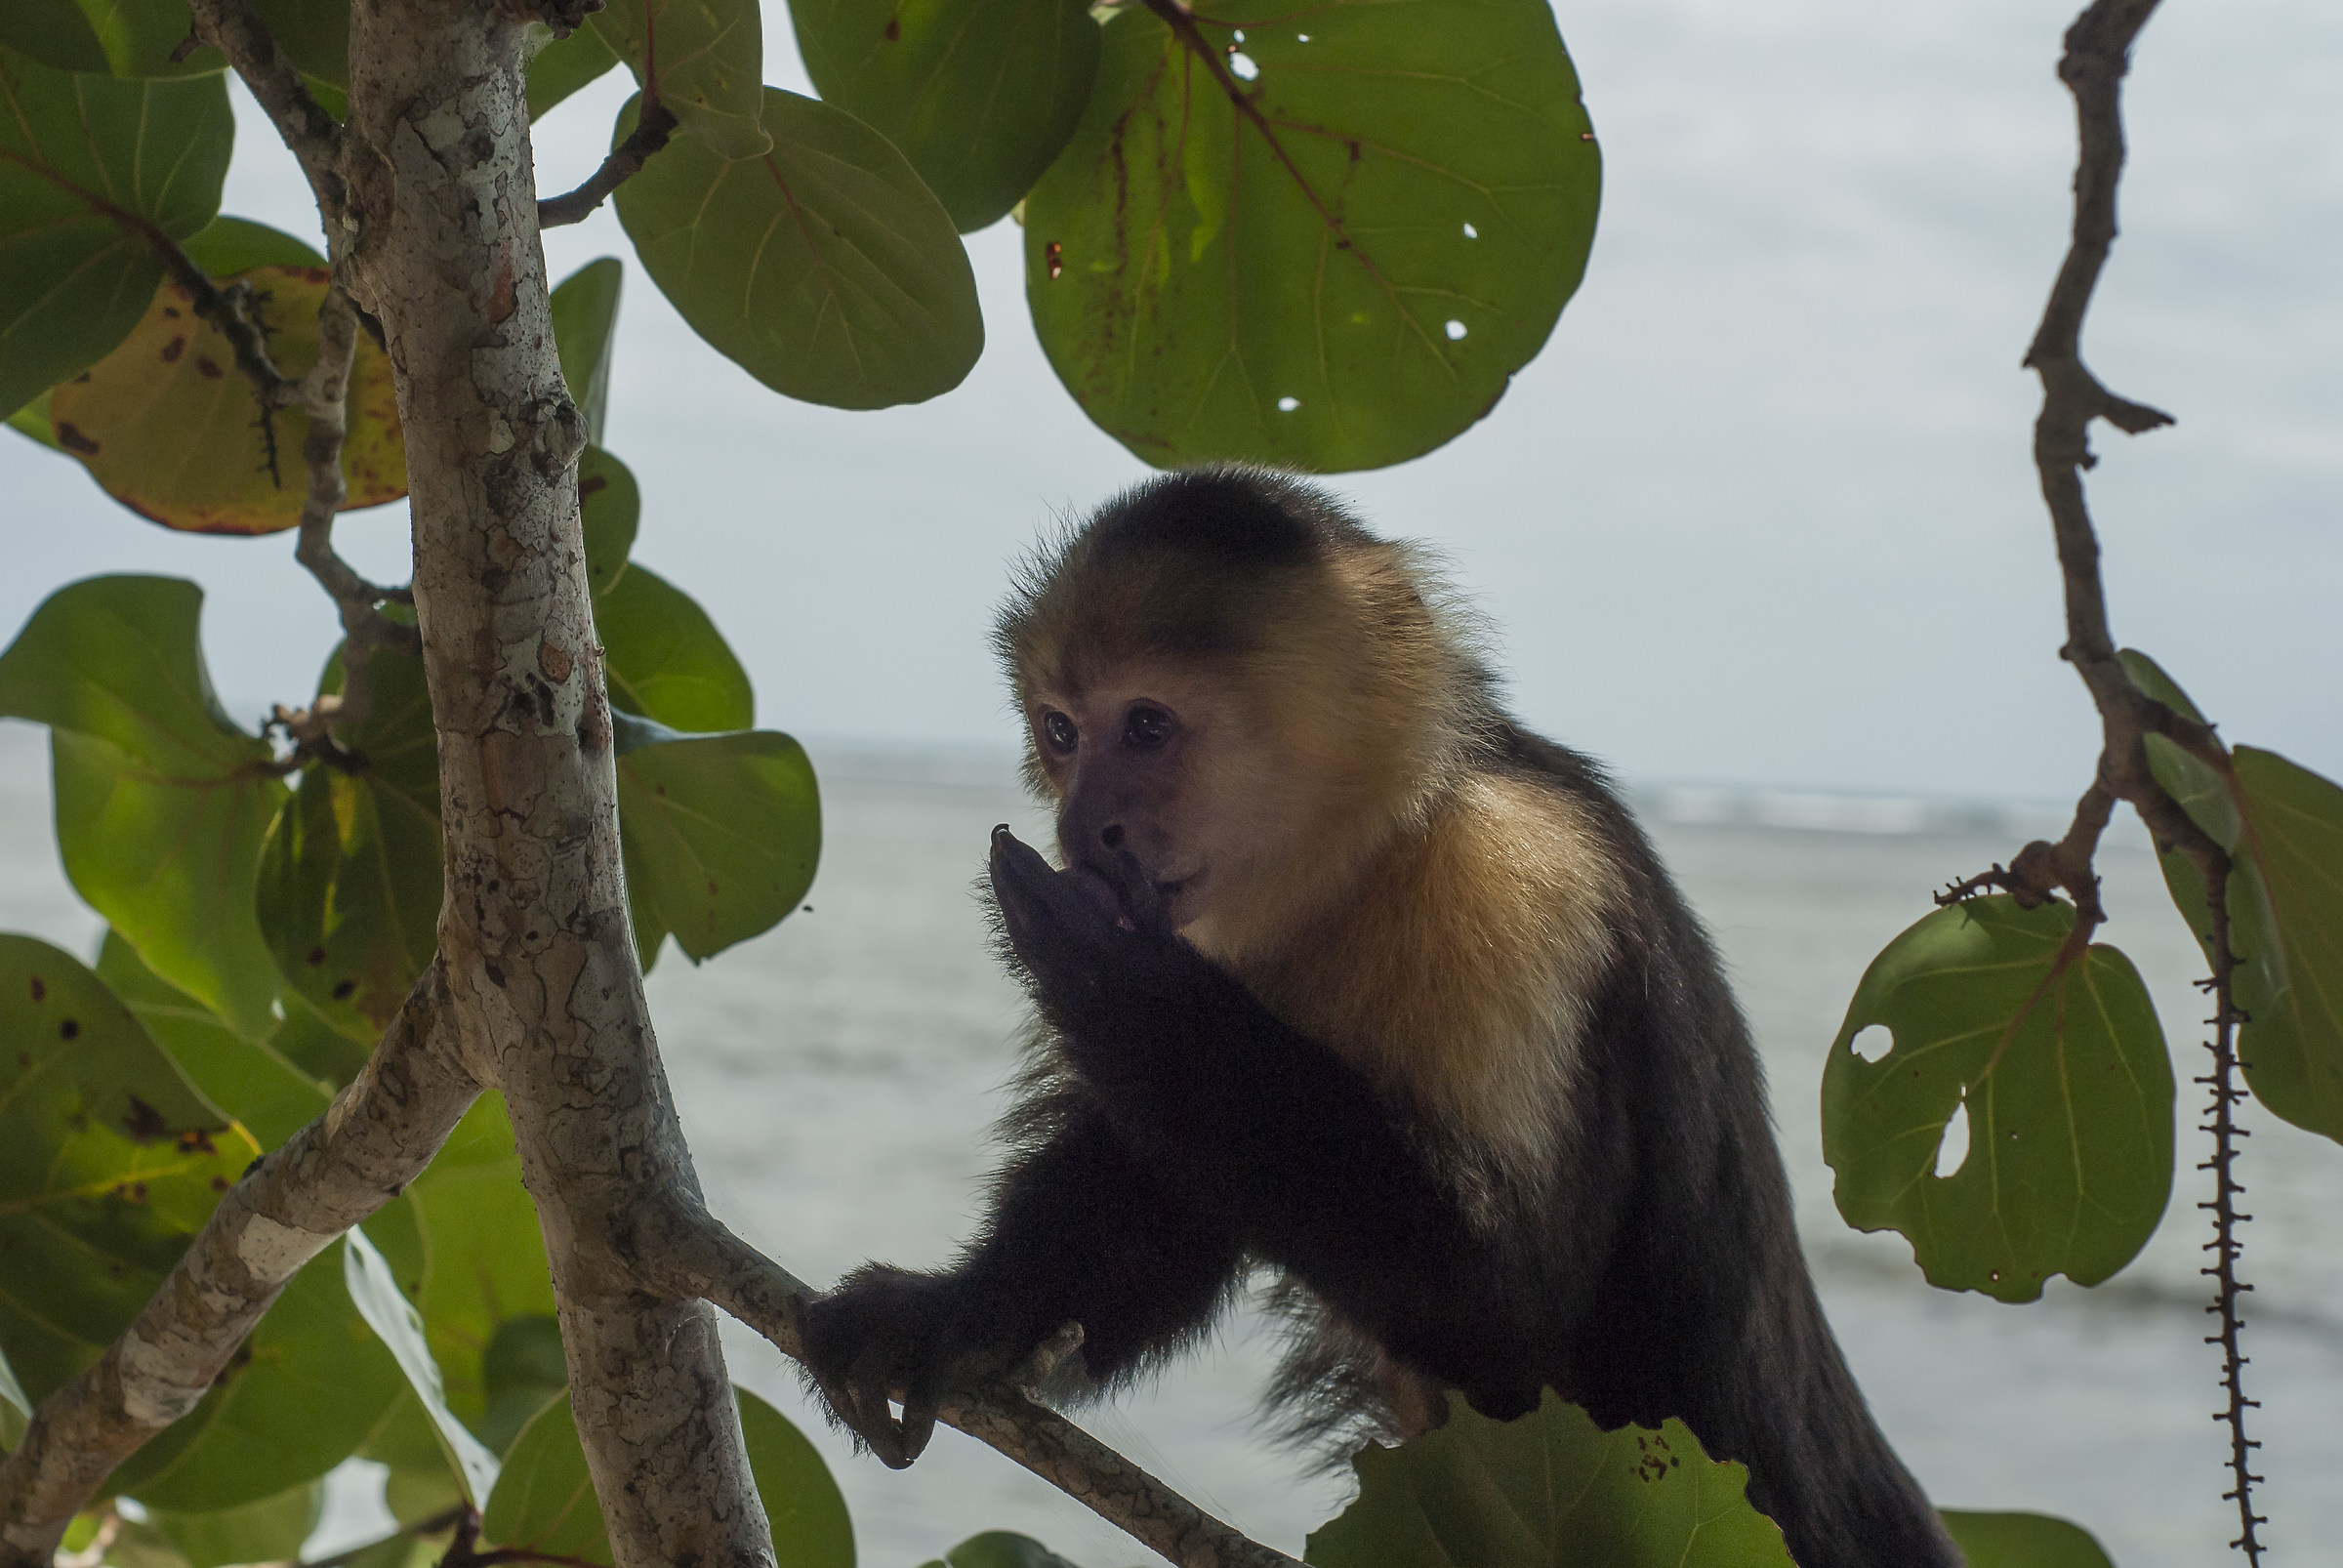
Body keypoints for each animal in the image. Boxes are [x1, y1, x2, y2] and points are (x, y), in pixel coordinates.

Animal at [798, 467, 1962, 1568]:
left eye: (1148, 726)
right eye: (1060, 731)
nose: (1087, 828)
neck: (1364, 863)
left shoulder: (1513, 885)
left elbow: (1514, 1305)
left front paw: (1114, 976)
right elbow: (1155, 1208)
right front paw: (951, 1316)